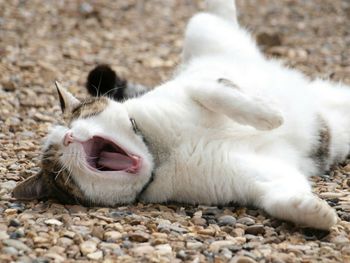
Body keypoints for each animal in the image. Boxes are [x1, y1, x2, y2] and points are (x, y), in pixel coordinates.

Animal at [12, 0, 348, 231]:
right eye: (59, 168)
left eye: (79, 119)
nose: (69, 136)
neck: (160, 155)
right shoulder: (255, 178)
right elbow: (279, 197)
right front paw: (317, 214)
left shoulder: (194, 87)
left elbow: (214, 91)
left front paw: (269, 117)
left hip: (202, 29)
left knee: (215, 14)